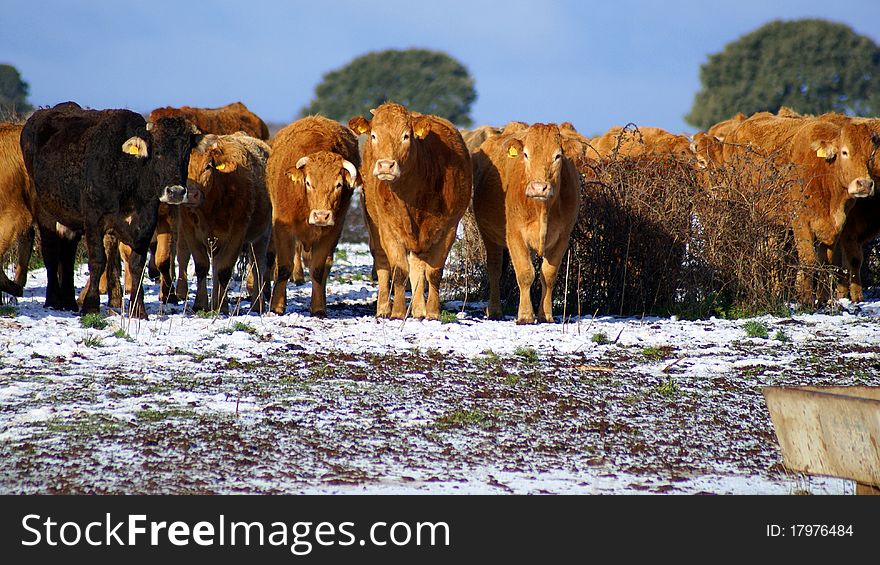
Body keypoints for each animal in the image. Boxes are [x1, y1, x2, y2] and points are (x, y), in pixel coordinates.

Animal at [19, 101, 202, 318]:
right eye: (157, 152)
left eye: (186, 153)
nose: (175, 192)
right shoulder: (93, 221)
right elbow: (98, 261)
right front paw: (90, 305)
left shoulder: (145, 224)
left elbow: (137, 265)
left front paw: (138, 310)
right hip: (44, 210)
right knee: (50, 252)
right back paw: (54, 300)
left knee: (68, 254)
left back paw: (69, 302)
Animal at [178, 134, 272, 316]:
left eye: (208, 166)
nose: (191, 195)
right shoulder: (189, 231)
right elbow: (202, 267)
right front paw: (201, 304)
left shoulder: (236, 234)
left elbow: (224, 270)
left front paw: (221, 307)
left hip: (262, 236)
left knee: (257, 267)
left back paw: (257, 305)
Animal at [264, 116, 360, 316]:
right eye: (308, 182)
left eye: (339, 184)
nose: (321, 216)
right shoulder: (283, 228)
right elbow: (283, 267)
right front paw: (277, 306)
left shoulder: (332, 232)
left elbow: (318, 269)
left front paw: (318, 308)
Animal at [348, 102, 474, 320]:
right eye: (374, 135)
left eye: (406, 136)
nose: (386, 165)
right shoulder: (389, 230)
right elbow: (399, 271)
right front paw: (398, 312)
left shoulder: (448, 229)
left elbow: (433, 273)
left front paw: (432, 311)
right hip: (374, 224)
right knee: (382, 264)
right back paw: (383, 308)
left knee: (417, 268)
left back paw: (418, 309)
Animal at [470, 122, 580, 326]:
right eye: (526, 154)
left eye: (557, 156)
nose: (539, 188)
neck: (542, 209)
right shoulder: (515, 235)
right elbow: (525, 273)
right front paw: (526, 316)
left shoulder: (562, 238)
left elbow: (548, 275)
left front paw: (545, 315)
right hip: (490, 236)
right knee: (495, 269)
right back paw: (494, 310)